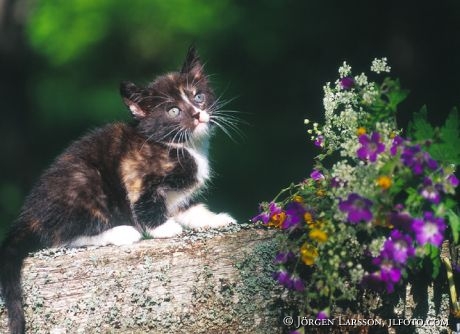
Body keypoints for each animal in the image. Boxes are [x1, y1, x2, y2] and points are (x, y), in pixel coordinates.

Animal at [0, 45, 235, 332]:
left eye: (199, 97)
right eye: (173, 111)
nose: (199, 115)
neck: (182, 146)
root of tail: (30, 214)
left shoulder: (178, 197)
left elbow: (191, 209)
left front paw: (216, 219)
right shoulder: (135, 173)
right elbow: (146, 204)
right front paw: (164, 229)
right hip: (86, 181)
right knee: (62, 237)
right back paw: (121, 232)